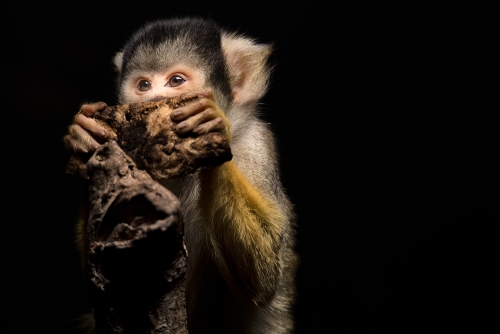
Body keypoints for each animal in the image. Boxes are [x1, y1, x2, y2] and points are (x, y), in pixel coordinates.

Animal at [64, 18, 294, 334]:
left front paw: (211, 128)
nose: (156, 98)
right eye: (144, 85)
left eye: (175, 81)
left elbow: (263, 277)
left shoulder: (256, 144)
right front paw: (83, 135)